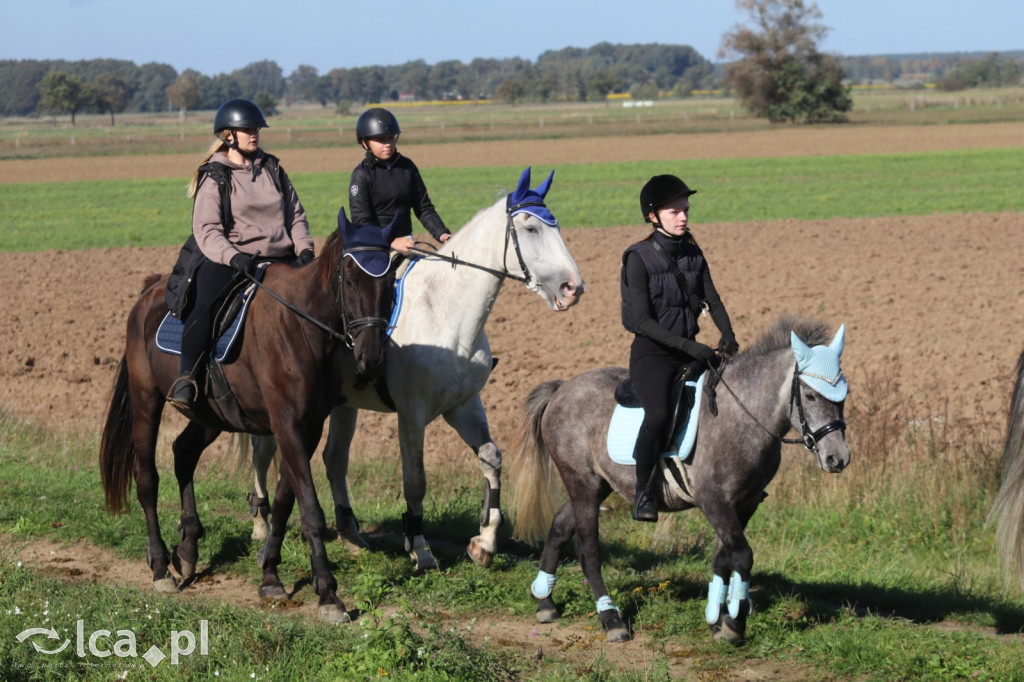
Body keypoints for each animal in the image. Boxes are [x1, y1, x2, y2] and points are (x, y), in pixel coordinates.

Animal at [98, 209, 395, 618]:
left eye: (391, 280)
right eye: (349, 279)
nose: (371, 359)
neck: (302, 328)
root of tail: (149, 291)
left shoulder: (308, 428)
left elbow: (286, 502)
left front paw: (270, 577)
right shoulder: (287, 425)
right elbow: (310, 510)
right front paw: (328, 594)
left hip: (210, 417)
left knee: (183, 454)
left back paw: (187, 550)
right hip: (147, 401)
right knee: (147, 481)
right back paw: (160, 568)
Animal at [247, 164, 585, 573]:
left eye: (556, 226)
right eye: (531, 228)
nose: (573, 288)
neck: (446, 312)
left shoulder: (462, 405)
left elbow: (492, 458)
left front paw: (484, 542)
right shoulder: (412, 413)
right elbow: (416, 481)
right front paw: (419, 547)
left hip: (344, 404)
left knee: (334, 458)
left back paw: (351, 533)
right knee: (262, 454)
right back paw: (261, 526)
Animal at [509, 313, 847, 643]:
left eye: (843, 396)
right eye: (810, 395)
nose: (838, 459)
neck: (743, 416)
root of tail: (562, 387)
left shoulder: (745, 503)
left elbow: (723, 558)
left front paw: (717, 618)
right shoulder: (714, 500)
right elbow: (741, 555)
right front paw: (734, 624)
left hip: (598, 485)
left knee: (560, 525)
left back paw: (545, 601)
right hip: (583, 483)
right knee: (588, 548)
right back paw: (611, 618)